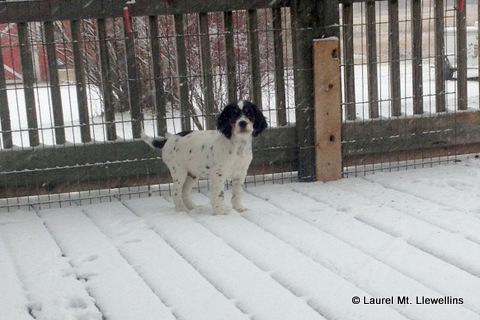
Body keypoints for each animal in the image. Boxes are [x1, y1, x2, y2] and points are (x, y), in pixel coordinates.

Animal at [142, 100, 270, 215]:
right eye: (234, 114)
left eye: (249, 114)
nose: (242, 123)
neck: (237, 146)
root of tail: (168, 139)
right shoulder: (218, 174)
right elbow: (219, 195)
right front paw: (220, 213)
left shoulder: (241, 173)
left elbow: (237, 193)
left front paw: (239, 209)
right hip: (179, 171)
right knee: (175, 192)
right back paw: (183, 210)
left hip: (192, 174)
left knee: (184, 191)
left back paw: (192, 207)